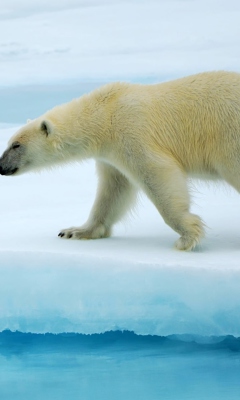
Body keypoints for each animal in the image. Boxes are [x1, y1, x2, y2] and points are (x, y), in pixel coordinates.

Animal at [0, 69, 240, 250]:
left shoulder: (132, 133)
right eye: (9, 142)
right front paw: (74, 231)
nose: (1, 166)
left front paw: (187, 236)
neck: (105, 113)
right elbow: (113, 191)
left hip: (229, 137)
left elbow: (157, 173)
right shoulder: (110, 155)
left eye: (16, 145)